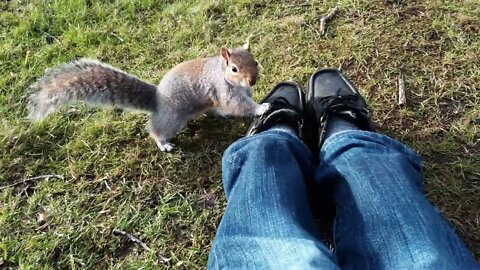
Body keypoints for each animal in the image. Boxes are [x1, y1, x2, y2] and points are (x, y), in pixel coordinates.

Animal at [27, 42, 270, 152]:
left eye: (256, 61)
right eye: (234, 69)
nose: (253, 80)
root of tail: (157, 99)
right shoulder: (223, 90)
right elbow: (239, 105)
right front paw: (261, 108)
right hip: (172, 119)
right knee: (156, 129)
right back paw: (164, 144)